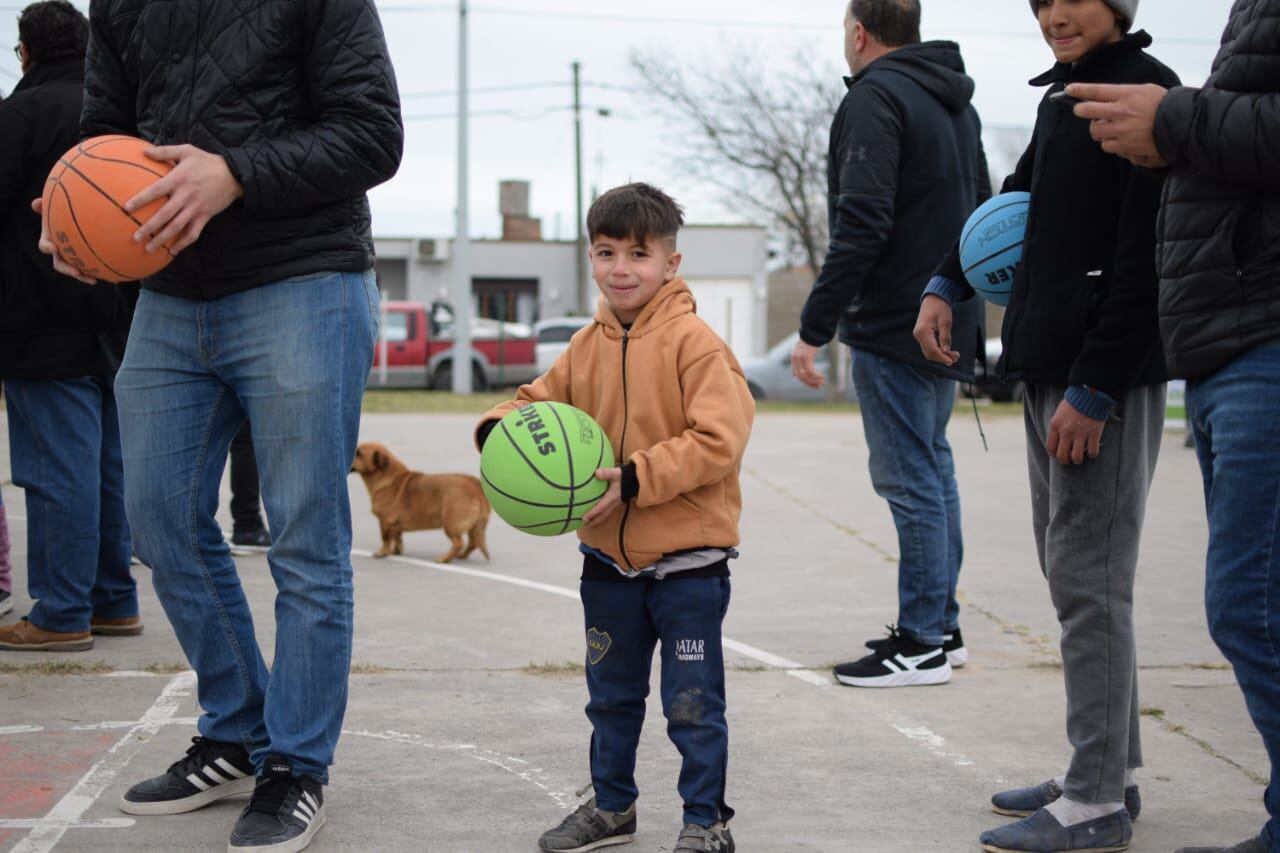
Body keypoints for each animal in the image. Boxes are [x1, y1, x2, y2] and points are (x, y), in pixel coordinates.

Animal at [350, 440, 488, 560]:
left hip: (451, 525)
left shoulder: (385, 521)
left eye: (359, 453)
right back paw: (461, 556)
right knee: (473, 543)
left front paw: (382, 552)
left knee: (459, 543)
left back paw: (444, 559)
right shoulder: (395, 525)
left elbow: (386, 539)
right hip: (474, 528)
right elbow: (398, 538)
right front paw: (396, 551)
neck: (388, 478)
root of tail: (475, 486)